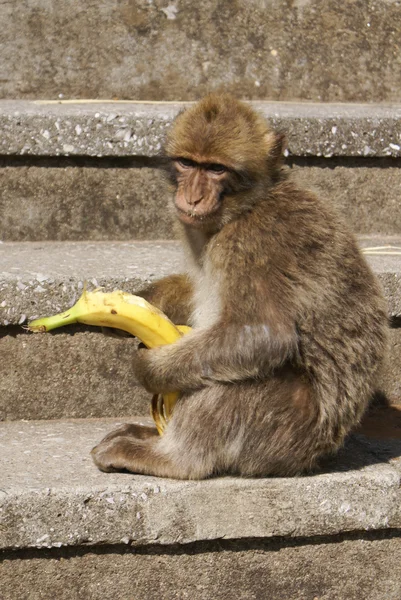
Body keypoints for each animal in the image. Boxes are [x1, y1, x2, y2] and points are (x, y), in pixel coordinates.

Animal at [91, 92, 388, 478]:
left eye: (216, 169)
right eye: (187, 163)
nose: (193, 196)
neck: (246, 207)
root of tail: (318, 455)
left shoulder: (250, 242)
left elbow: (263, 335)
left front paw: (150, 367)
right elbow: (198, 287)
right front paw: (135, 303)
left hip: (282, 436)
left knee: (237, 375)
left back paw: (173, 457)